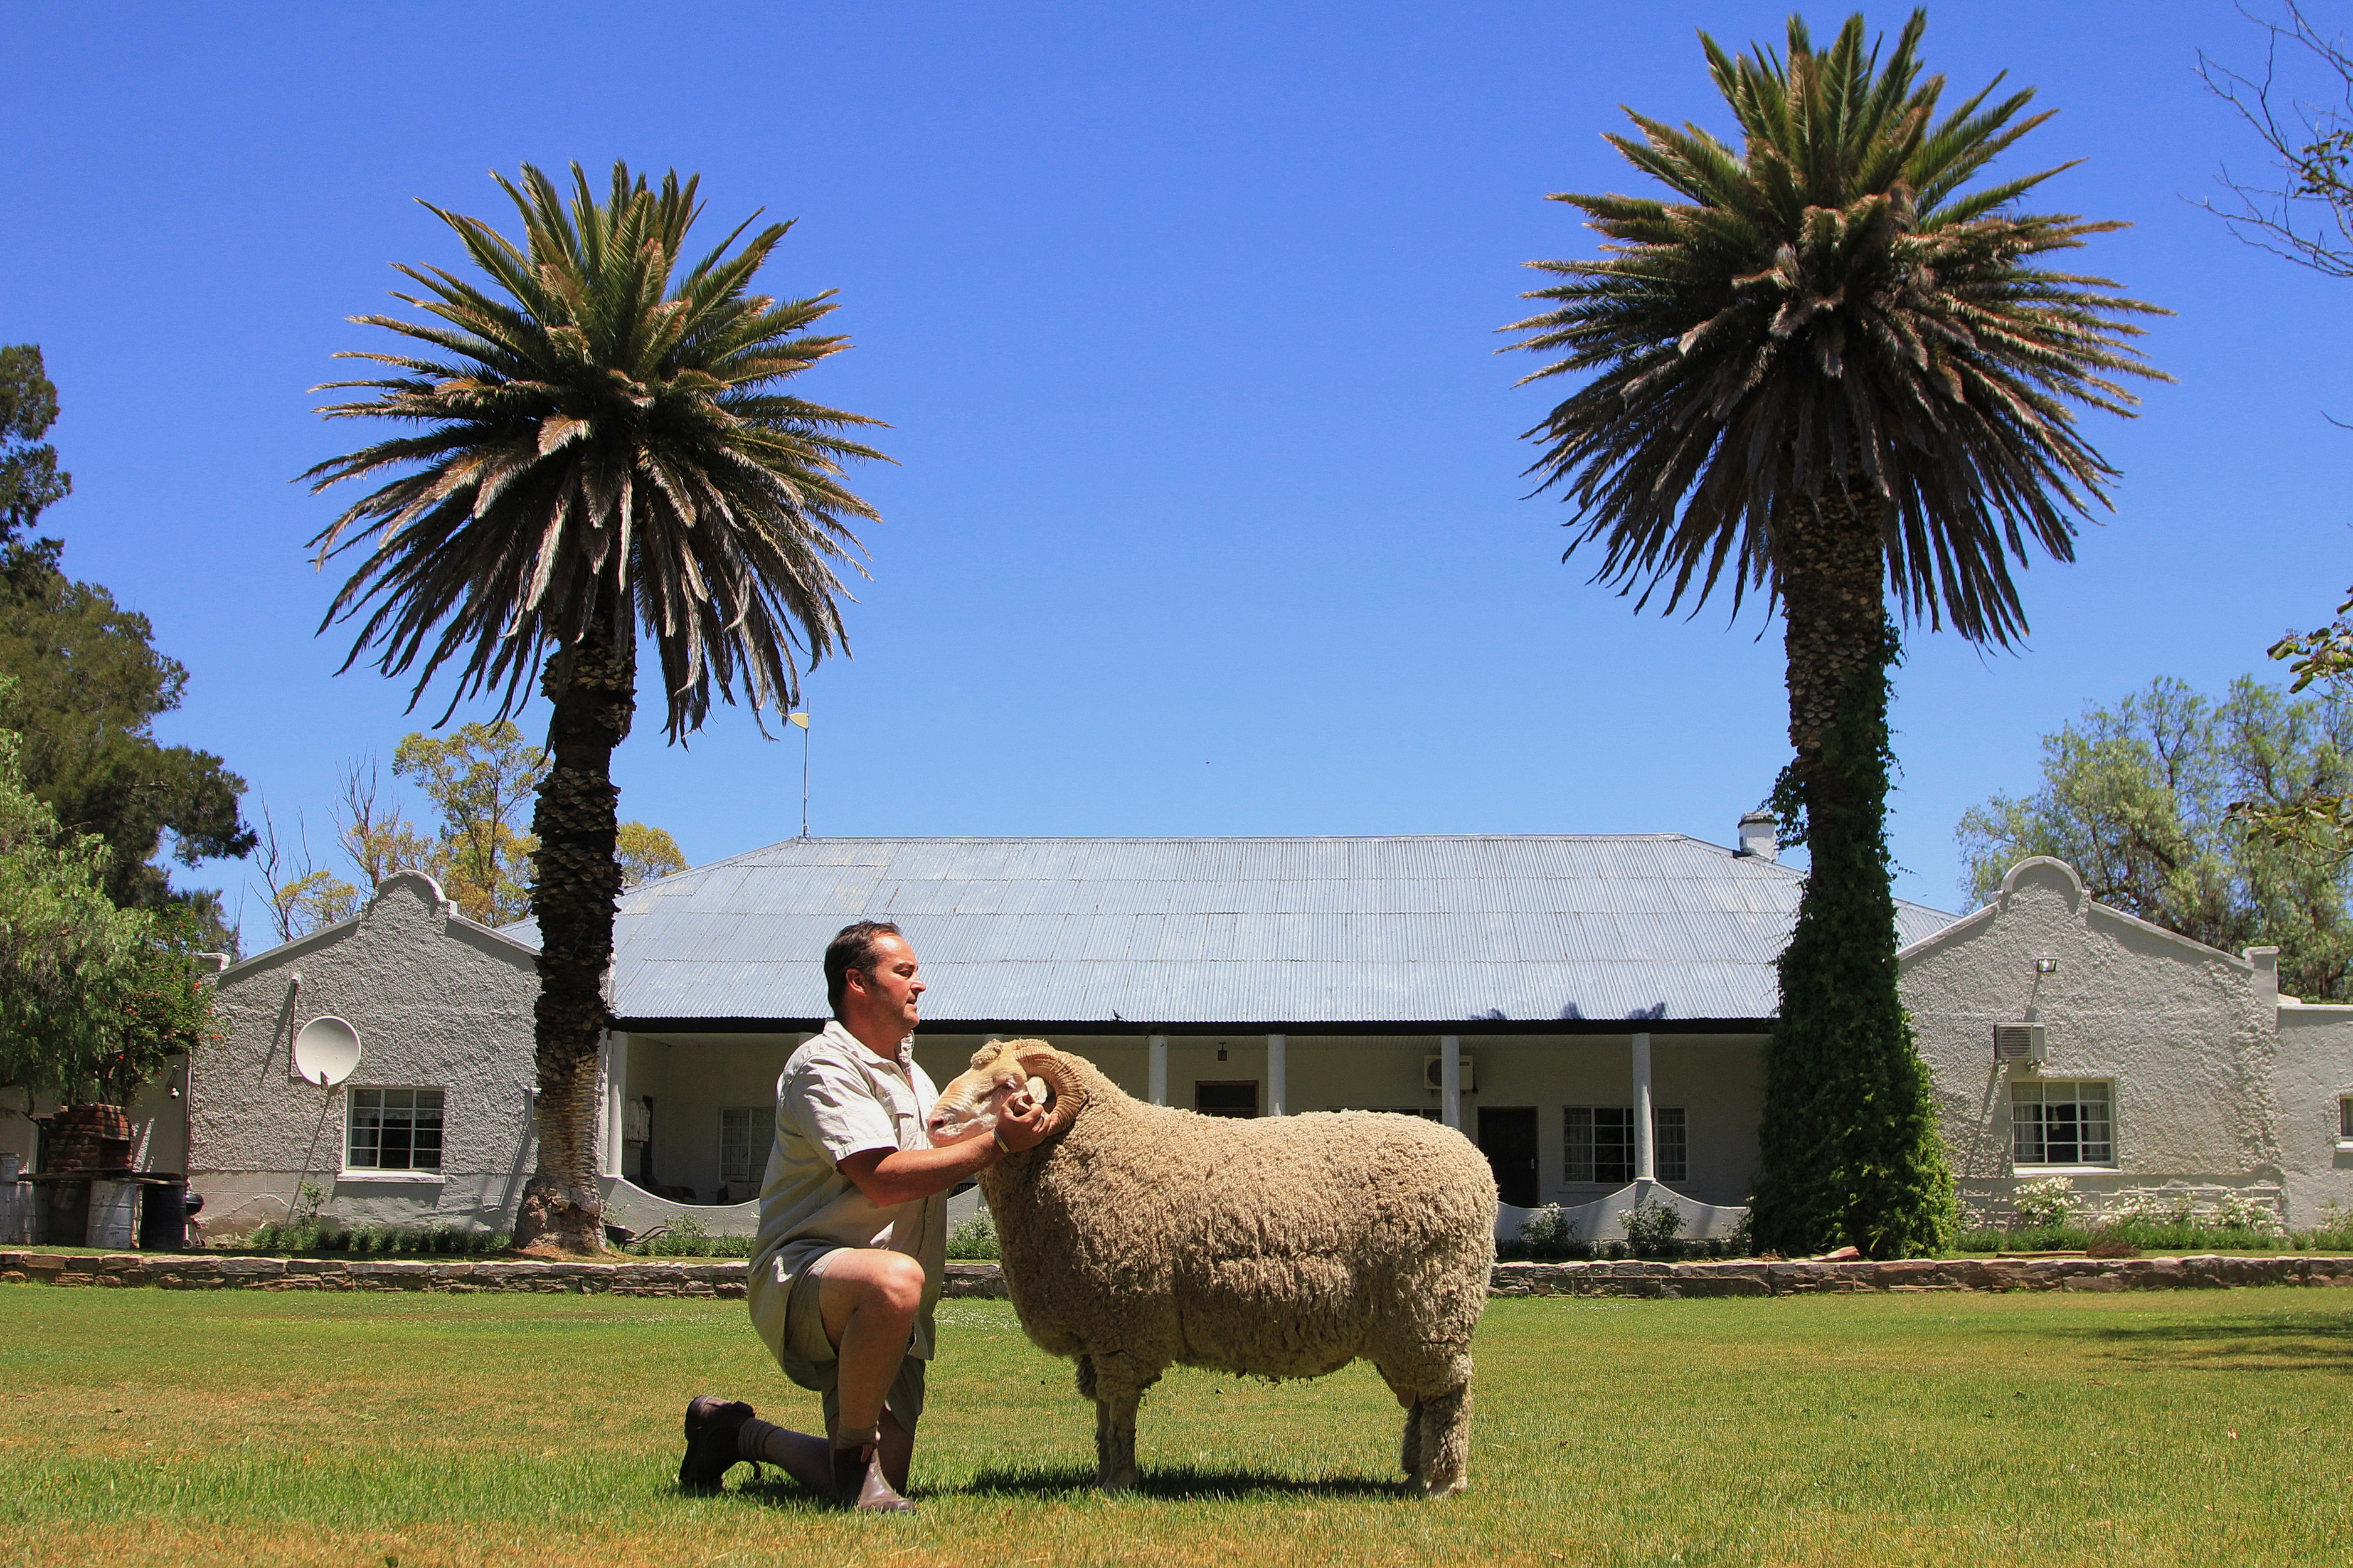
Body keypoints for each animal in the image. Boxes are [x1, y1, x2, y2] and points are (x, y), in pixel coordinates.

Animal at [927, 1038, 1496, 1498]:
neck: (1095, 1148)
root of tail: (1477, 1165)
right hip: (1407, 1324)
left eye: (1007, 1086)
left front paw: (1118, 1482)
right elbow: (1103, 1412)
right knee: (1422, 1399)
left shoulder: (1123, 1323)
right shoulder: (1096, 1329)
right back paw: (1416, 1474)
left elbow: (1120, 1407)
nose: (934, 1123)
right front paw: (1103, 1474)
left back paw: (1442, 1483)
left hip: (1430, 1306)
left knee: (1448, 1395)